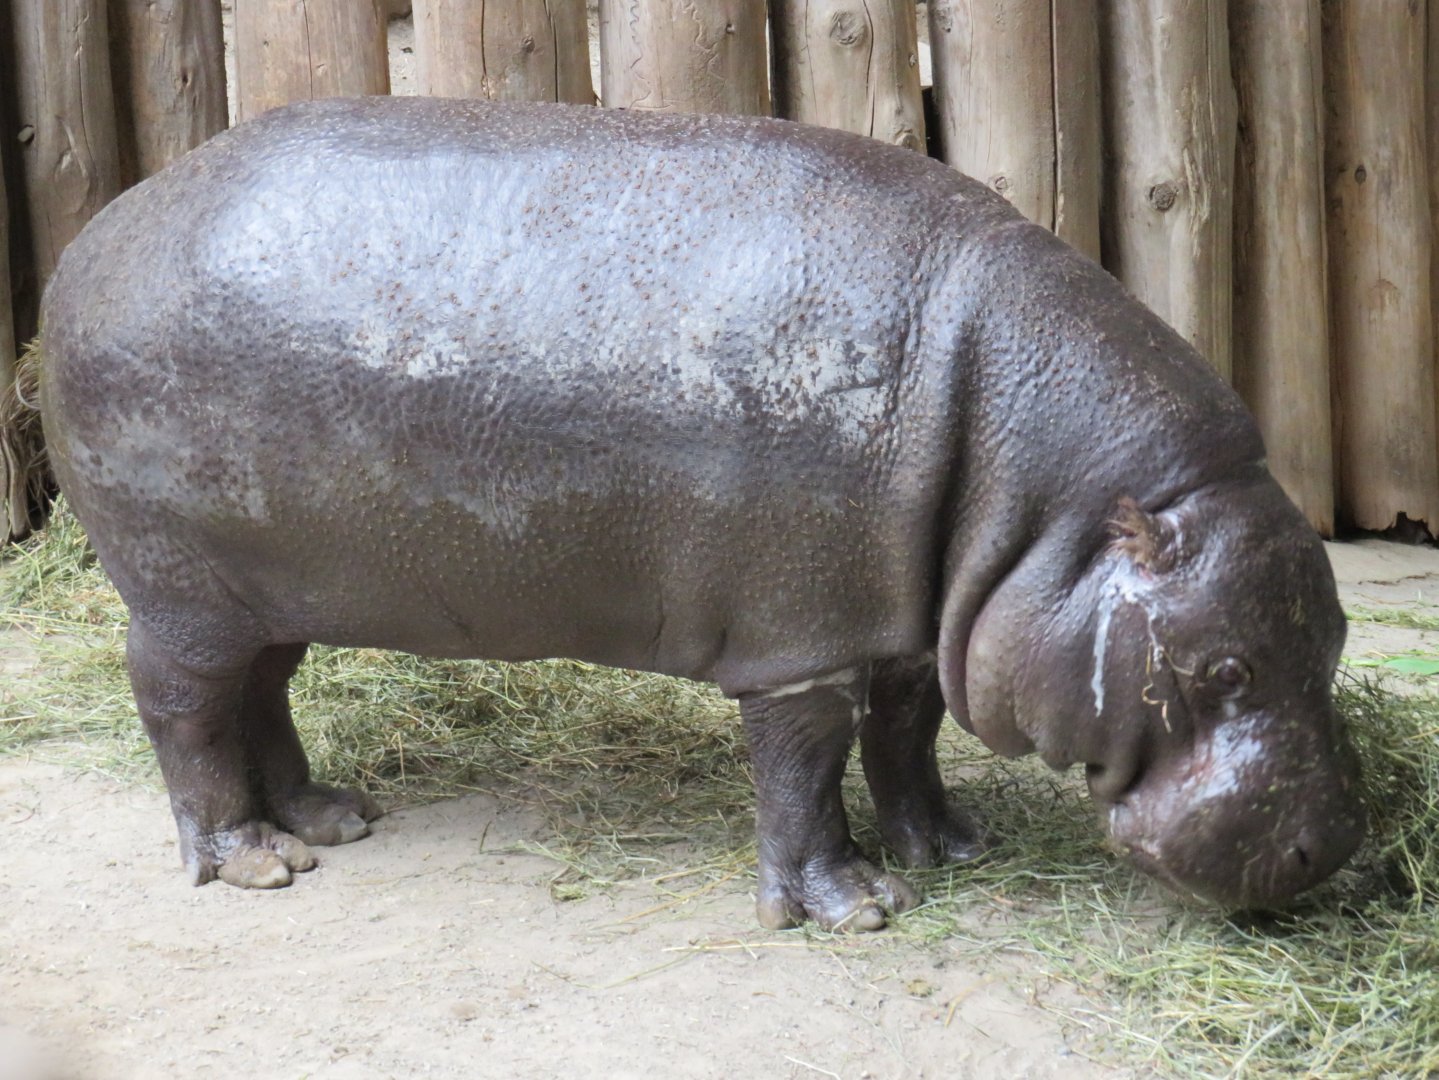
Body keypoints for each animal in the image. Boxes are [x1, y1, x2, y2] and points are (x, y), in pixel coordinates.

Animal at [33, 97, 1363, 931]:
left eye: (1335, 634)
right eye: (1223, 669)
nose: (1333, 847)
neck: (1049, 506)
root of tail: (102, 228)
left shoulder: (903, 612)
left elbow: (907, 731)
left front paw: (950, 845)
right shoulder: (796, 644)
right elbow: (806, 770)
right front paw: (856, 908)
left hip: (272, 581)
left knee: (263, 689)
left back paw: (332, 820)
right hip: (178, 594)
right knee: (184, 712)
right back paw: (255, 864)